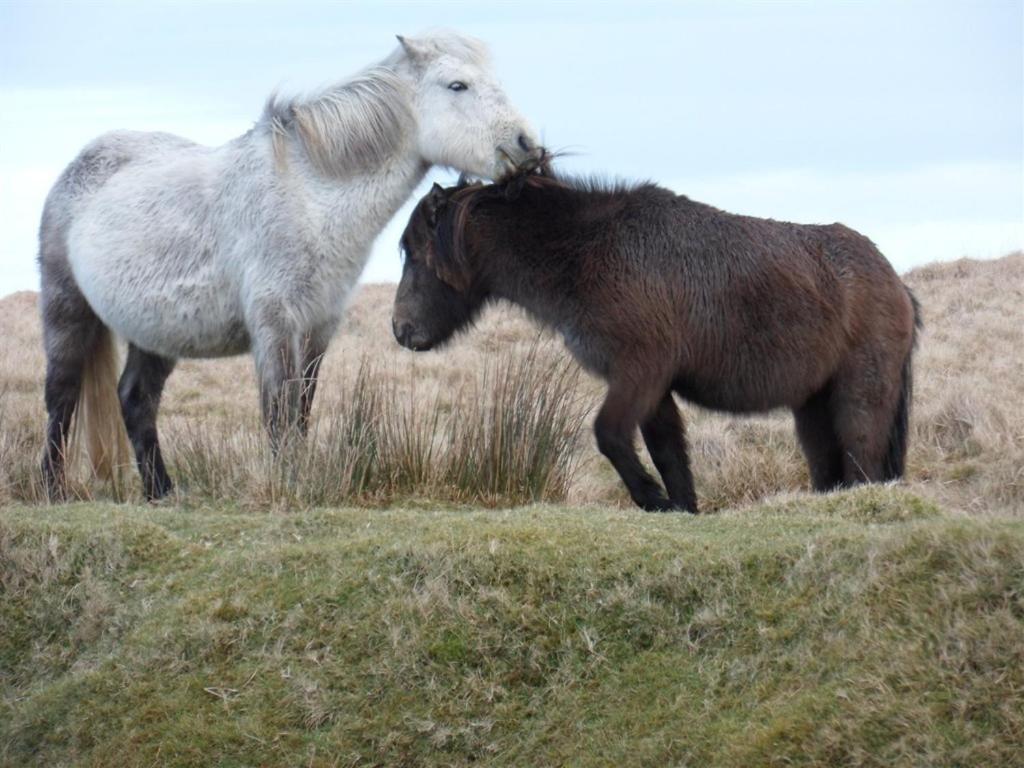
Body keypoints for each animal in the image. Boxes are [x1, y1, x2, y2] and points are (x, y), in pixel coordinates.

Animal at [38, 31, 536, 499]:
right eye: (458, 85)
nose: (527, 145)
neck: (308, 197)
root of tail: (79, 166)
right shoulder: (275, 324)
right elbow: (279, 410)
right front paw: (286, 486)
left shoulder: (317, 327)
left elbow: (301, 409)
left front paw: (299, 480)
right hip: (67, 311)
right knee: (61, 397)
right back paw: (53, 490)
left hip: (156, 333)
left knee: (136, 399)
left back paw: (160, 492)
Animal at [389, 171, 921, 514]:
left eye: (413, 250)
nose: (400, 329)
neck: (587, 252)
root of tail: (894, 280)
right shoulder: (652, 386)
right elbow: (667, 451)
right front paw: (680, 507)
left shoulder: (639, 373)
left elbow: (609, 435)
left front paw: (651, 499)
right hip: (811, 408)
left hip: (858, 396)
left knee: (862, 461)